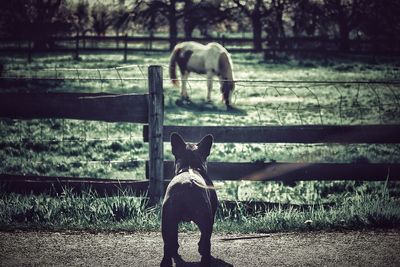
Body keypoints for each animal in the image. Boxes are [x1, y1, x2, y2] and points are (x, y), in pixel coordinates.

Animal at [160, 133, 219, 266]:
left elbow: (175, 236)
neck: (190, 166)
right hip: (206, 220)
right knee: (206, 241)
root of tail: (188, 184)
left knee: (167, 244)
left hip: (167, 221)